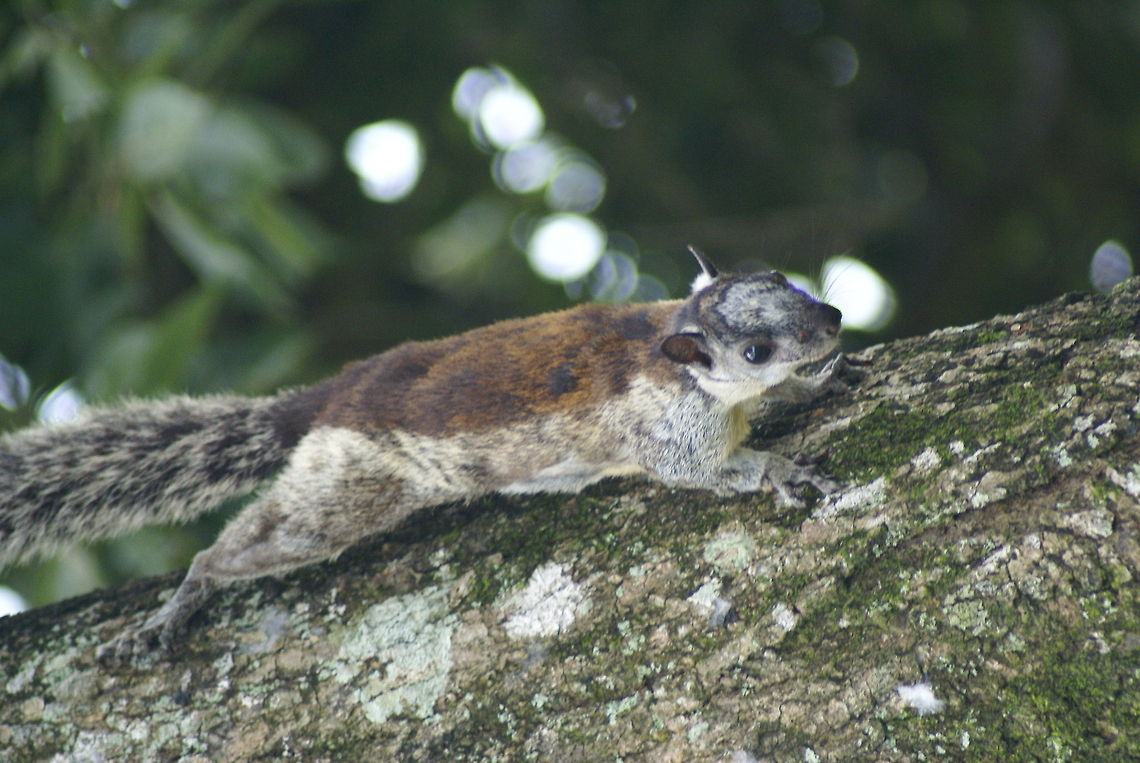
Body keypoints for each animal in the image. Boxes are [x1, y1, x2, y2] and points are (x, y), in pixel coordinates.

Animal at [0, 248, 851, 660]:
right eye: (754, 346)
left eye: (785, 280)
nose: (835, 318)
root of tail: (330, 396)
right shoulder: (669, 431)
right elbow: (701, 472)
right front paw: (780, 468)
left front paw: (813, 384)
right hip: (343, 486)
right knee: (248, 545)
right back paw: (184, 597)